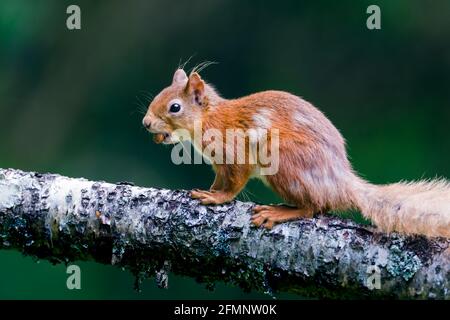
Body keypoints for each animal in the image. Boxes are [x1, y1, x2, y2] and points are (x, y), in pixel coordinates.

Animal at [142, 67, 450, 238]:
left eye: (175, 107)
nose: (145, 123)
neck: (210, 120)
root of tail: (341, 183)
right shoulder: (219, 165)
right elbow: (219, 180)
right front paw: (208, 190)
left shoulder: (236, 152)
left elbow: (234, 184)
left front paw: (217, 198)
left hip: (282, 160)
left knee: (313, 207)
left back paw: (279, 212)